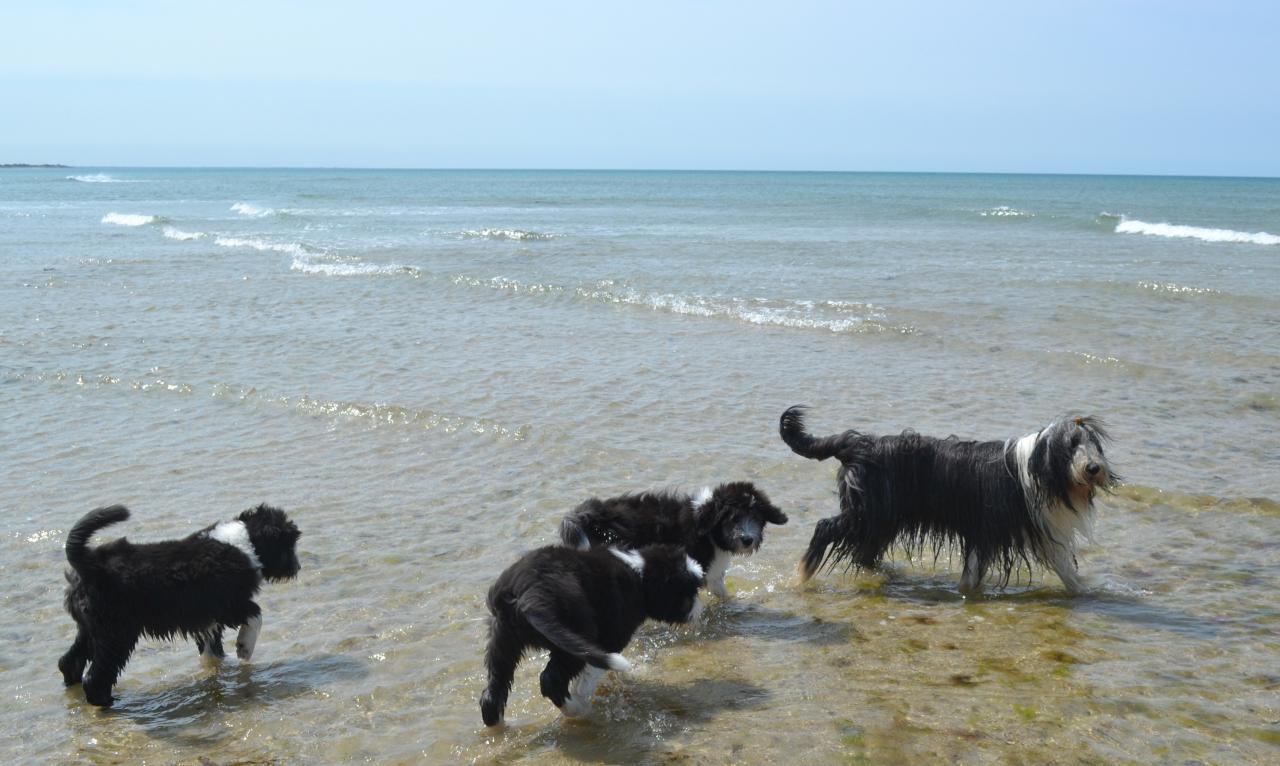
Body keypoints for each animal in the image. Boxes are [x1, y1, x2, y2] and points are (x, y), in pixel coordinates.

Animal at [59, 504, 302, 707]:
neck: (244, 542)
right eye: (289, 544)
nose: (298, 567)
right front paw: (244, 648)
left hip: (92, 629)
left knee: (69, 661)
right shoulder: (230, 605)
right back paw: (108, 703)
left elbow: (211, 648)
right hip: (116, 633)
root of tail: (90, 566)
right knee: (96, 676)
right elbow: (256, 616)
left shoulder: (209, 619)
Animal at [481, 543, 706, 727]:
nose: (700, 611)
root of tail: (528, 593)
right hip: (576, 635)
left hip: (502, 641)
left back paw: (502, 727)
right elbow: (593, 673)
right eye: (690, 591)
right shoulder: (609, 641)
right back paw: (578, 710)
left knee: (492, 693)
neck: (639, 576)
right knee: (551, 680)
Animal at [563, 484, 788, 604]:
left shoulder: (713, 574)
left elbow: (721, 592)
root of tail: (592, 517)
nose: (747, 539)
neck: (709, 528)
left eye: (756, 517)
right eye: (733, 518)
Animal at [773, 407, 1116, 594]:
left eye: (1092, 444)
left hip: (881, 519)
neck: (1034, 465)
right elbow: (974, 568)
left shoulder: (1037, 528)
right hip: (866, 512)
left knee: (863, 553)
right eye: (1071, 445)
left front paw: (1084, 591)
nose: (1094, 468)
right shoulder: (986, 526)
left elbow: (1064, 567)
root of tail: (855, 443)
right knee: (825, 527)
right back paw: (802, 574)